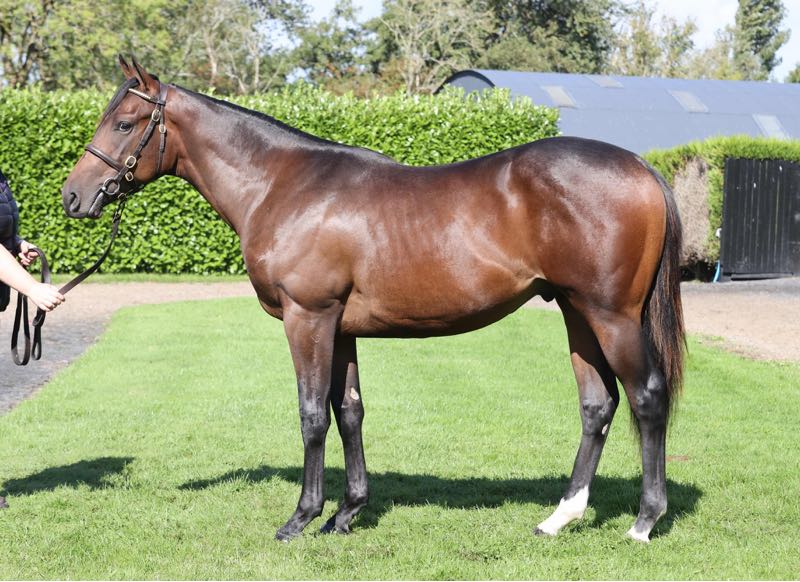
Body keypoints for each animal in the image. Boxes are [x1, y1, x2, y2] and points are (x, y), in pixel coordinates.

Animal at [61, 57, 685, 543]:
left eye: (124, 122)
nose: (72, 196)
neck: (282, 185)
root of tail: (641, 166)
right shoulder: (341, 328)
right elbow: (350, 411)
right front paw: (347, 512)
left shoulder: (307, 319)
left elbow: (313, 414)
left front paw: (302, 517)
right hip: (577, 312)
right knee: (597, 405)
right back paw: (560, 518)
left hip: (611, 315)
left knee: (647, 398)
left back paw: (644, 521)